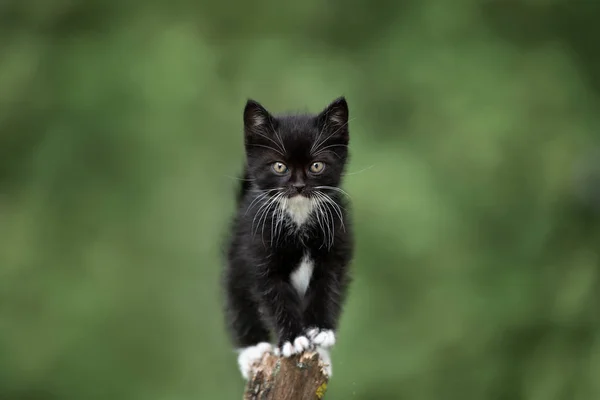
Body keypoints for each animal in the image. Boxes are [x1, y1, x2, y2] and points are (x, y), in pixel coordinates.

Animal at [223, 98, 354, 380]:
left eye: (316, 166)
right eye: (279, 166)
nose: (299, 186)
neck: (299, 216)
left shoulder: (336, 249)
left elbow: (327, 288)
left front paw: (319, 330)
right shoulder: (258, 254)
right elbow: (275, 298)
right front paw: (293, 340)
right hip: (235, 259)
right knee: (238, 298)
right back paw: (253, 350)